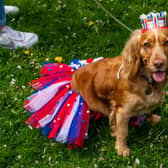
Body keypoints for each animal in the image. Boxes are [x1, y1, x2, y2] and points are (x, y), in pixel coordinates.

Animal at [71, 27, 168, 156]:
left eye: (166, 42)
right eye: (146, 44)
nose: (159, 64)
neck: (145, 79)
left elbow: (149, 111)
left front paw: (152, 119)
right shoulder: (122, 111)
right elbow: (123, 132)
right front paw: (122, 148)